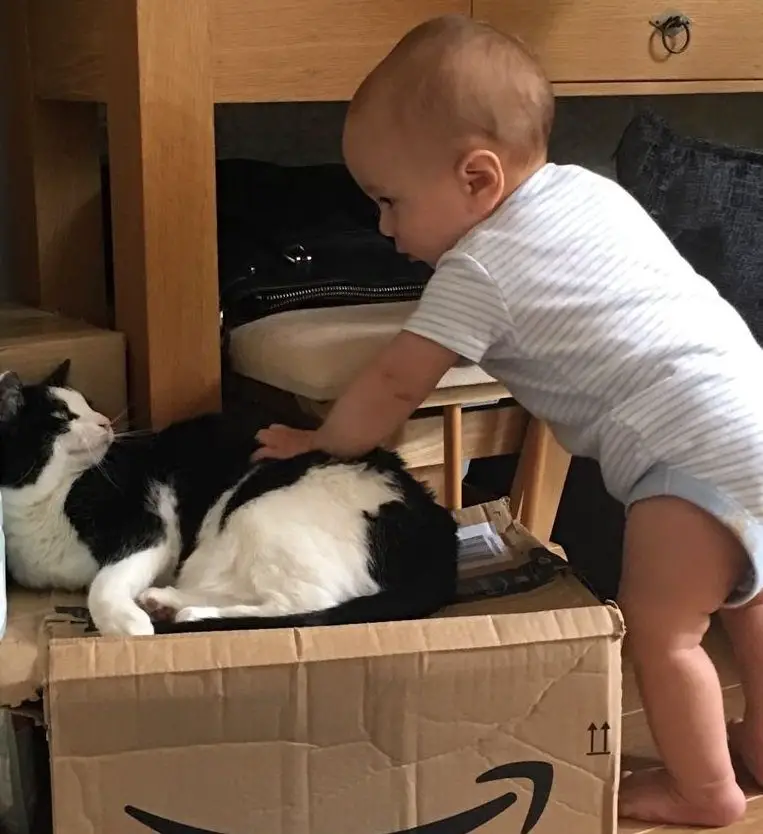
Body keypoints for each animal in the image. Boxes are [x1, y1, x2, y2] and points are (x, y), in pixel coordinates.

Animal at [0, 360, 456, 636]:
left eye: (89, 405)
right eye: (63, 418)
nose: (104, 423)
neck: (38, 504)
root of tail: (438, 524)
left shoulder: (149, 528)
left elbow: (102, 584)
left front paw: (127, 626)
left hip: (257, 513)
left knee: (300, 605)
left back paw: (183, 613)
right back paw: (166, 602)